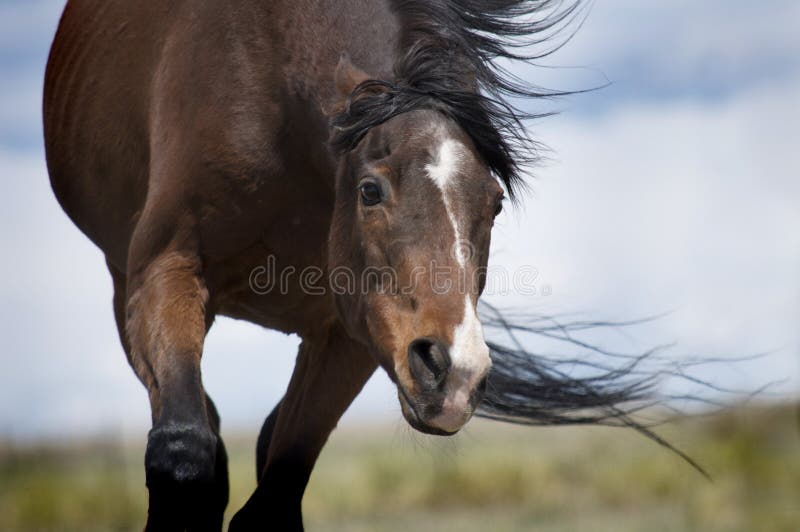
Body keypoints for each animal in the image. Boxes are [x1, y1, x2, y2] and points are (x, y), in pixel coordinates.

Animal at [43, 0, 692, 528]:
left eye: (495, 201)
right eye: (371, 190)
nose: (455, 376)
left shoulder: (354, 330)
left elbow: (274, 492)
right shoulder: (164, 272)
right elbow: (183, 452)